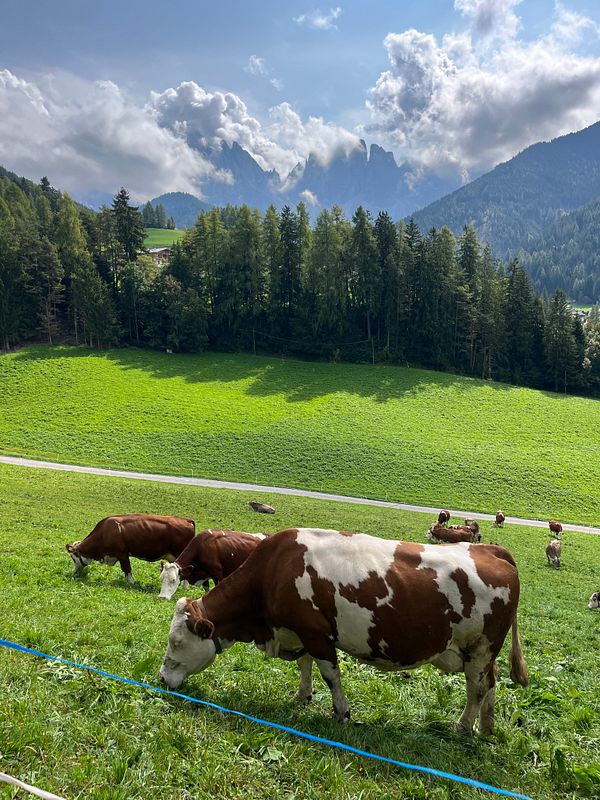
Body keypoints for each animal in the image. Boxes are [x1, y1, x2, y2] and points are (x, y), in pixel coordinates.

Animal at [66, 514, 195, 585]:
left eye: (73, 558)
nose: (74, 572)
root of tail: (187, 520)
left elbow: (127, 569)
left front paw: (131, 583)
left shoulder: (122, 554)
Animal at [159, 528, 528, 736]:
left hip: (479, 649)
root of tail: (489, 549)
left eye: (176, 641)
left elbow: (330, 675)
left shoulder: (316, 633)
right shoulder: (301, 631)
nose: (161, 679)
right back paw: (486, 728)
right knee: (491, 684)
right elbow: (305, 665)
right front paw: (302, 696)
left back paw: (463, 727)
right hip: (482, 653)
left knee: (477, 688)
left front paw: (341, 713)